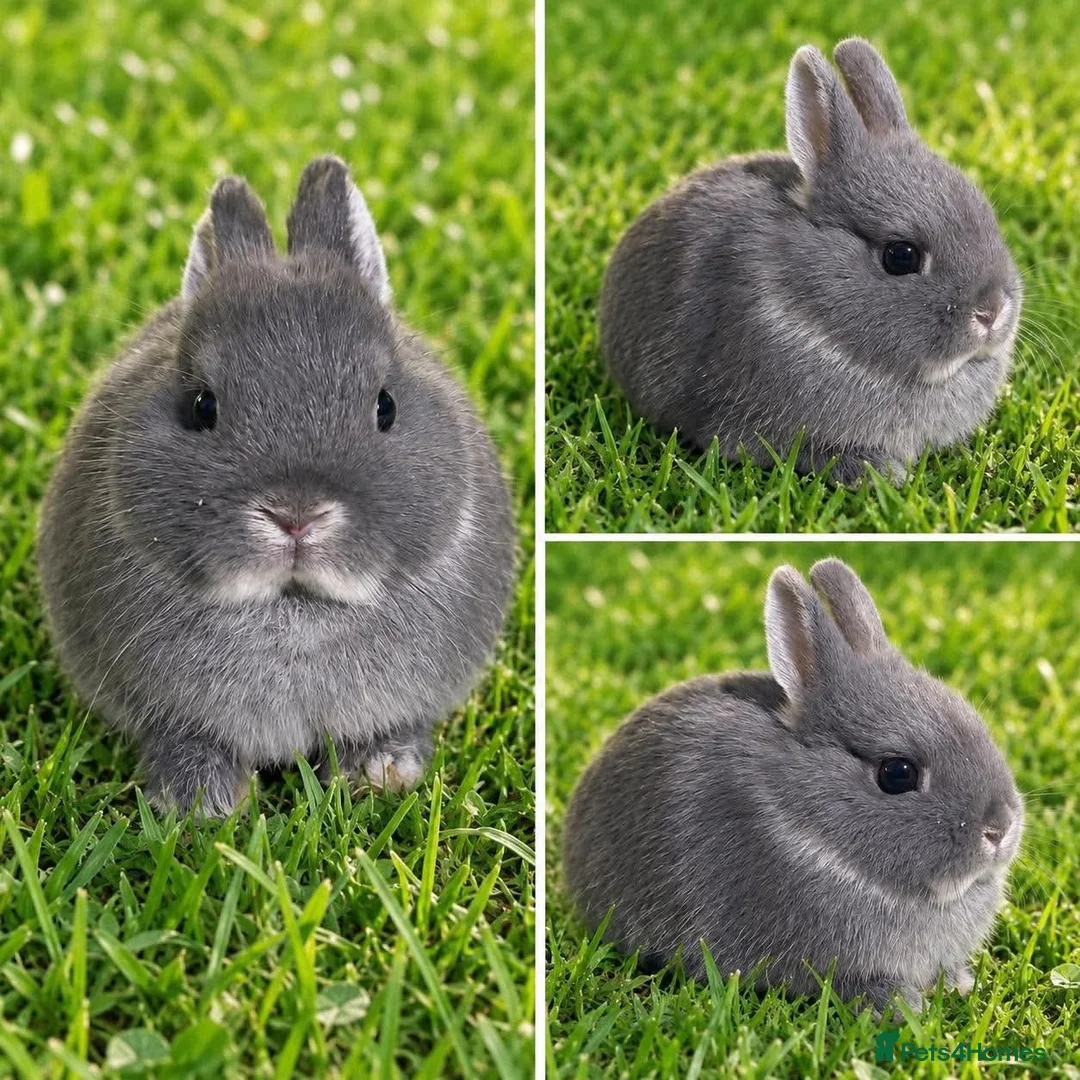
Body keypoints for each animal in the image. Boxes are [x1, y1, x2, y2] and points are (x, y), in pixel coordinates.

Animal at [37, 155, 516, 818]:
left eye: (386, 406)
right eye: (201, 406)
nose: (295, 516)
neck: (293, 611)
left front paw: (381, 774)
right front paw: (200, 804)